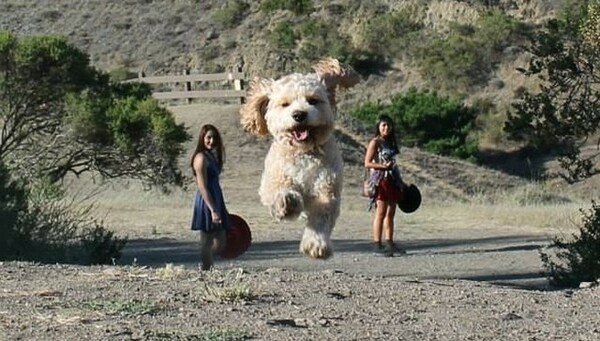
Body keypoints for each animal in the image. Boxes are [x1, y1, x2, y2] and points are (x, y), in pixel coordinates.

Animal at [240, 57, 360, 258]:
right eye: (285, 104)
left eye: (313, 100)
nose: (299, 114)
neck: (303, 152)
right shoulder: (273, 179)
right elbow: (279, 192)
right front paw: (287, 203)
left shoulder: (326, 187)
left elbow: (321, 216)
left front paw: (316, 244)